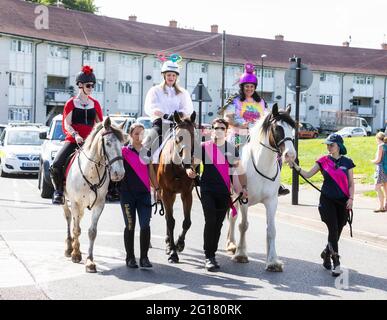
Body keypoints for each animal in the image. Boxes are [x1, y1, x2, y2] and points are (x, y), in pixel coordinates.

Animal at [62, 117, 126, 272]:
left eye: (122, 144)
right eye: (108, 143)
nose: (119, 173)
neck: (91, 172)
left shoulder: (99, 204)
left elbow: (92, 232)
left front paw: (90, 261)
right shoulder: (75, 202)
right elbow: (77, 229)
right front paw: (76, 255)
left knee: (76, 220)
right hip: (65, 201)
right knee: (69, 218)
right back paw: (69, 248)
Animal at [157, 110, 200, 262]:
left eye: (193, 135)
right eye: (178, 138)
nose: (187, 162)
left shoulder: (186, 193)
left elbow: (187, 222)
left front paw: (179, 244)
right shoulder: (166, 192)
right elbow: (170, 221)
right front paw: (173, 252)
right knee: (167, 217)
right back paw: (169, 245)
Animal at [227, 104, 298, 272]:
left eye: (292, 128)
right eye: (278, 128)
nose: (291, 155)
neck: (261, 165)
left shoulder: (271, 201)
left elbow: (271, 230)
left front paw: (272, 261)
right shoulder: (244, 199)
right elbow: (243, 225)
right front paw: (241, 254)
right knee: (233, 218)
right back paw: (232, 245)